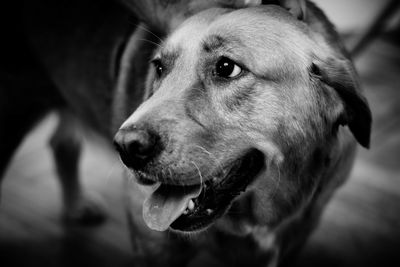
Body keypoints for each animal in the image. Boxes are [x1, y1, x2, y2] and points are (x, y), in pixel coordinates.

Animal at [0, 0, 370, 266]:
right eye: (160, 68)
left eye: (227, 68)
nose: (126, 147)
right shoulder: (154, 246)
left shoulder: (299, 233)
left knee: (61, 144)